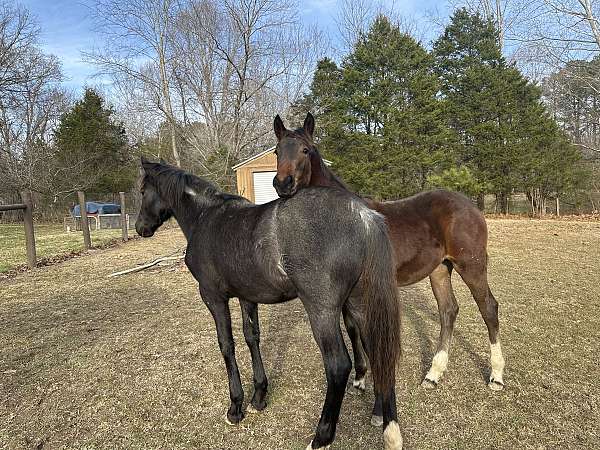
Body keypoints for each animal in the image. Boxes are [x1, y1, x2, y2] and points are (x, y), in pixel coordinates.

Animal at [136, 159, 404, 450]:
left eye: (142, 191)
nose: (140, 228)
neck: (205, 217)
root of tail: (364, 216)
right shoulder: (246, 296)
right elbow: (251, 337)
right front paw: (259, 396)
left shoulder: (213, 297)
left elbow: (226, 345)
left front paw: (236, 407)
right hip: (360, 305)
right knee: (378, 350)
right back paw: (385, 421)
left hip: (322, 312)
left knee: (338, 366)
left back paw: (320, 437)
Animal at [274, 114, 506, 396]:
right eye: (277, 151)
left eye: (305, 151)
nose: (282, 184)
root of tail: (470, 206)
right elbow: (352, 329)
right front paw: (360, 378)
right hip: (440, 269)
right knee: (448, 310)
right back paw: (433, 374)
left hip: (471, 264)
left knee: (488, 308)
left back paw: (496, 376)